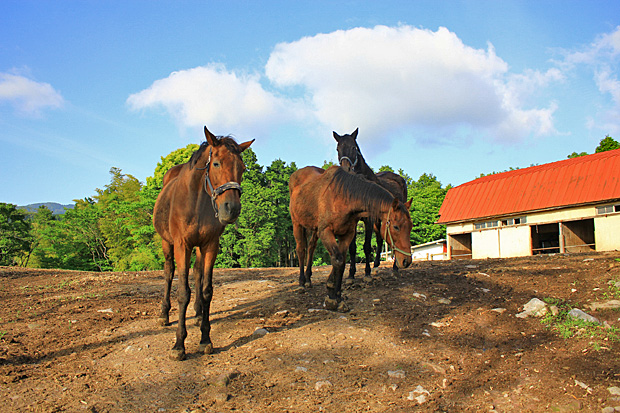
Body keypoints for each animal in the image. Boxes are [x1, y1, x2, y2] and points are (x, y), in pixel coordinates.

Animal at [153, 124, 254, 358]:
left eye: (242, 168)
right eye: (216, 163)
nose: (231, 209)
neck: (196, 203)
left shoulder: (210, 246)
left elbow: (207, 289)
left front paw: (205, 338)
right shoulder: (182, 246)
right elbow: (183, 292)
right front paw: (179, 344)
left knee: (198, 273)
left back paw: (199, 313)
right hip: (167, 244)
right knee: (168, 273)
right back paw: (164, 314)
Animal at [290, 163, 412, 308]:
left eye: (410, 226)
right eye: (396, 227)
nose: (406, 261)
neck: (342, 197)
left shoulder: (346, 234)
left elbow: (341, 261)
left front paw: (336, 293)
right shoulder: (325, 231)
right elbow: (337, 259)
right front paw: (332, 297)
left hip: (314, 229)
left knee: (311, 248)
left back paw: (308, 279)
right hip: (297, 224)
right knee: (301, 250)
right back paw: (302, 282)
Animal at [332, 127, 410, 278]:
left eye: (354, 147)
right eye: (338, 148)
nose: (346, 169)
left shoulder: (368, 219)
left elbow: (367, 246)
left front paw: (367, 272)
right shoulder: (354, 220)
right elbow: (353, 247)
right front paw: (351, 274)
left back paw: (394, 267)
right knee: (380, 239)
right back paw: (377, 264)